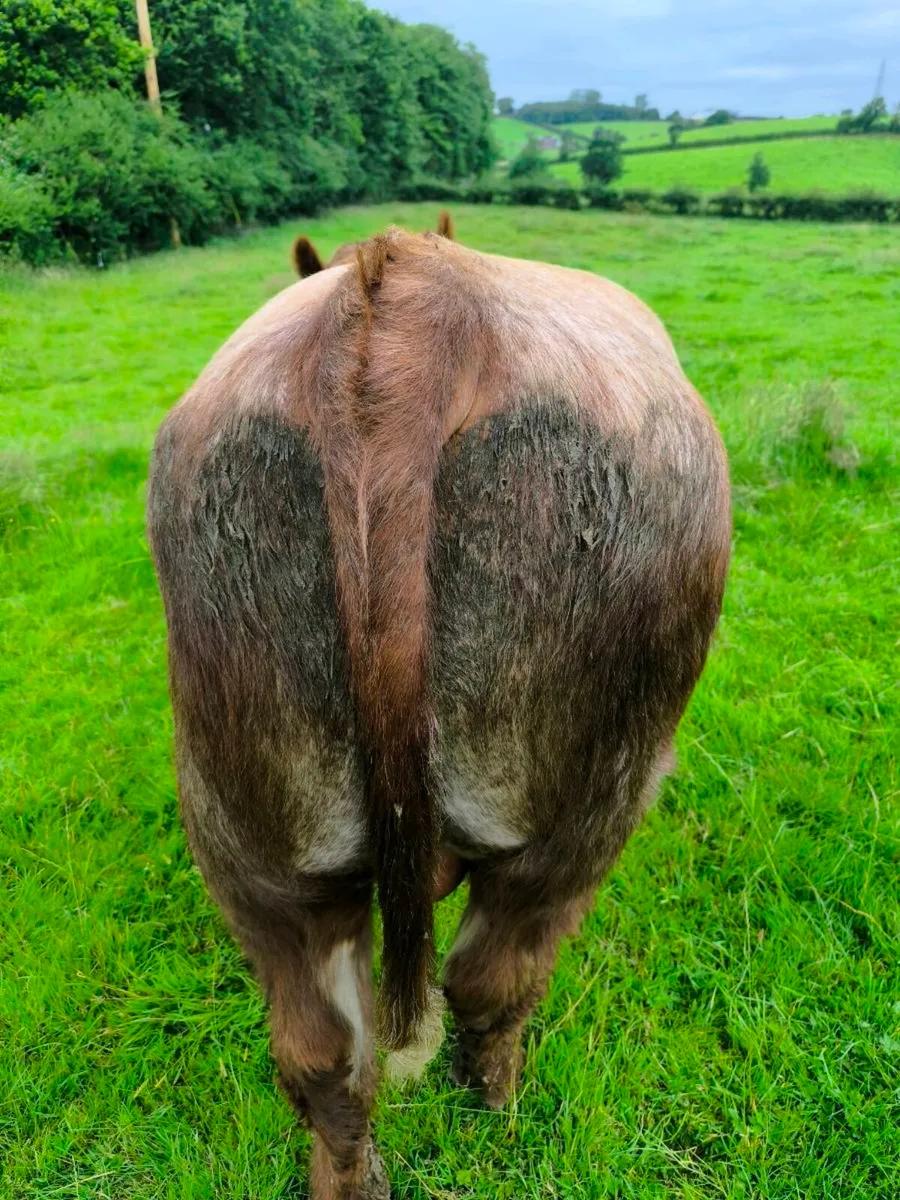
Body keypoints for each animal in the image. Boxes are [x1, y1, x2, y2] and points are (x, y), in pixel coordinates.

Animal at [147, 223, 730, 1199]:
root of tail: (411, 294)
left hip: (246, 831)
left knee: (322, 1053)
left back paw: (351, 1176)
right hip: (596, 793)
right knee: (492, 978)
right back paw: (495, 1104)